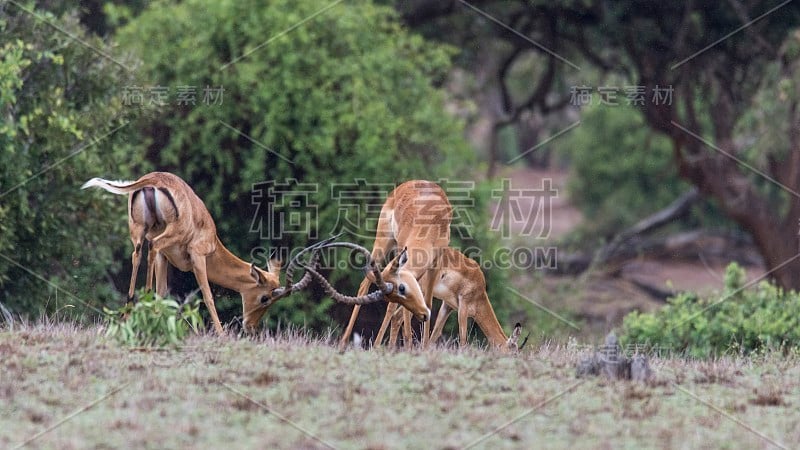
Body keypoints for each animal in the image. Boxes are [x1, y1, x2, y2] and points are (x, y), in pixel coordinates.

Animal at [81, 172, 290, 334]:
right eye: (265, 298)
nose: (251, 327)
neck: (213, 241)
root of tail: (152, 179)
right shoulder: (198, 256)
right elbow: (207, 296)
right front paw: (221, 334)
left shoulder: (164, 256)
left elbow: (162, 291)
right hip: (169, 234)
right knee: (153, 246)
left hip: (138, 232)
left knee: (137, 255)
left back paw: (128, 316)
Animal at [336, 181, 450, 350]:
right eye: (400, 290)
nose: (423, 316)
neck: (428, 224)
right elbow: (399, 309)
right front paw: (408, 347)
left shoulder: (436, 262)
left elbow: (428, 302)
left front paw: (423, 348)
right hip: (384, 241)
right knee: (365, 286)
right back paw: (347, 343)